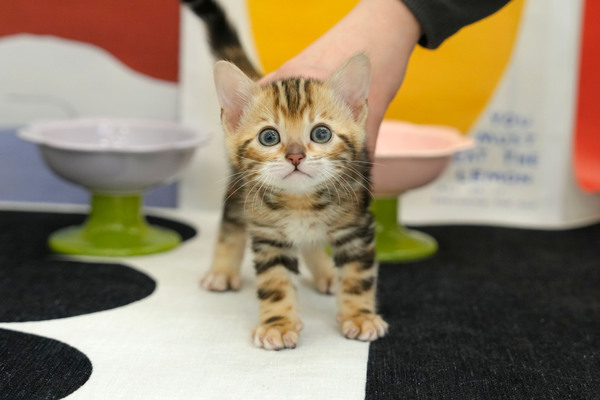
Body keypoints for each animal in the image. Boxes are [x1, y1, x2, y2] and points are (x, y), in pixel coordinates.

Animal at [183, 0, 388, 350]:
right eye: (269, 137)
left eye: (321, 134)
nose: (295, 156)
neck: (301, 202)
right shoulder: (268, 234)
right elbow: (276, 283)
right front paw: (277, 325)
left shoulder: (357, 226)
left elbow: (358, 277)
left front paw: (359, 316)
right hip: (239, 188)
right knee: (231, 224)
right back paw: (221, 271)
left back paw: (326, 274)